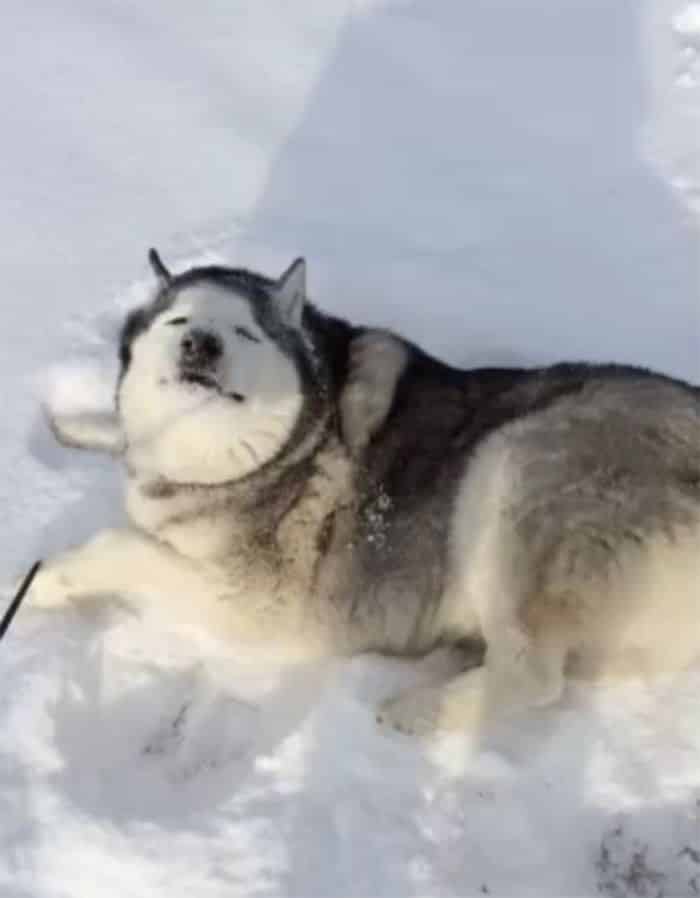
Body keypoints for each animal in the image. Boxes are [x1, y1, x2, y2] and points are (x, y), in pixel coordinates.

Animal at [30, 250, 700, 736]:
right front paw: (73, 423)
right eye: (177, 321)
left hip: (512, 463)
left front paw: (40, 583)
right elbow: (117, 440)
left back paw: (422, 709)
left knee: (533, 675)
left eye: (244, 332)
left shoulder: (257, 603)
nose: (201, 344)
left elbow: (116, 543)